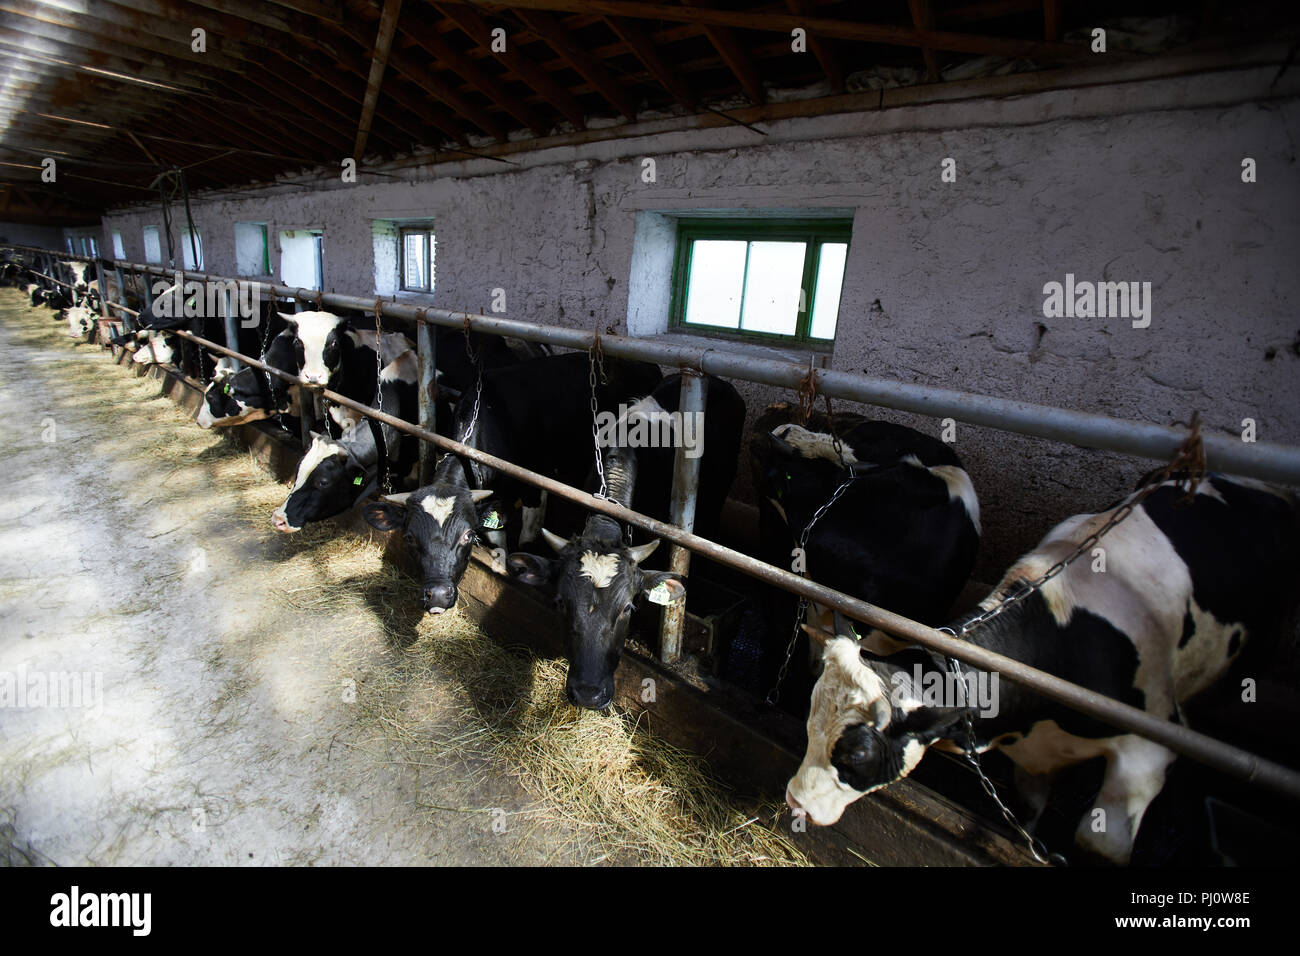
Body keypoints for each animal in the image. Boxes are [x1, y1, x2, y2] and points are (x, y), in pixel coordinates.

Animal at [361, 351, 665, 613]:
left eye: (466, 536)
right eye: (409, 537)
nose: (436, 595)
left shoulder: (535, 482)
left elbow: (527, 535)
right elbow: (497, 537)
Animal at [780, 476, 1300, 863]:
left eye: (857, 754)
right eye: (809, 723)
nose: (795, 802)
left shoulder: (1147, 749)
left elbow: (1098, 843)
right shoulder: (1031, 759)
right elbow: (1027, 818)